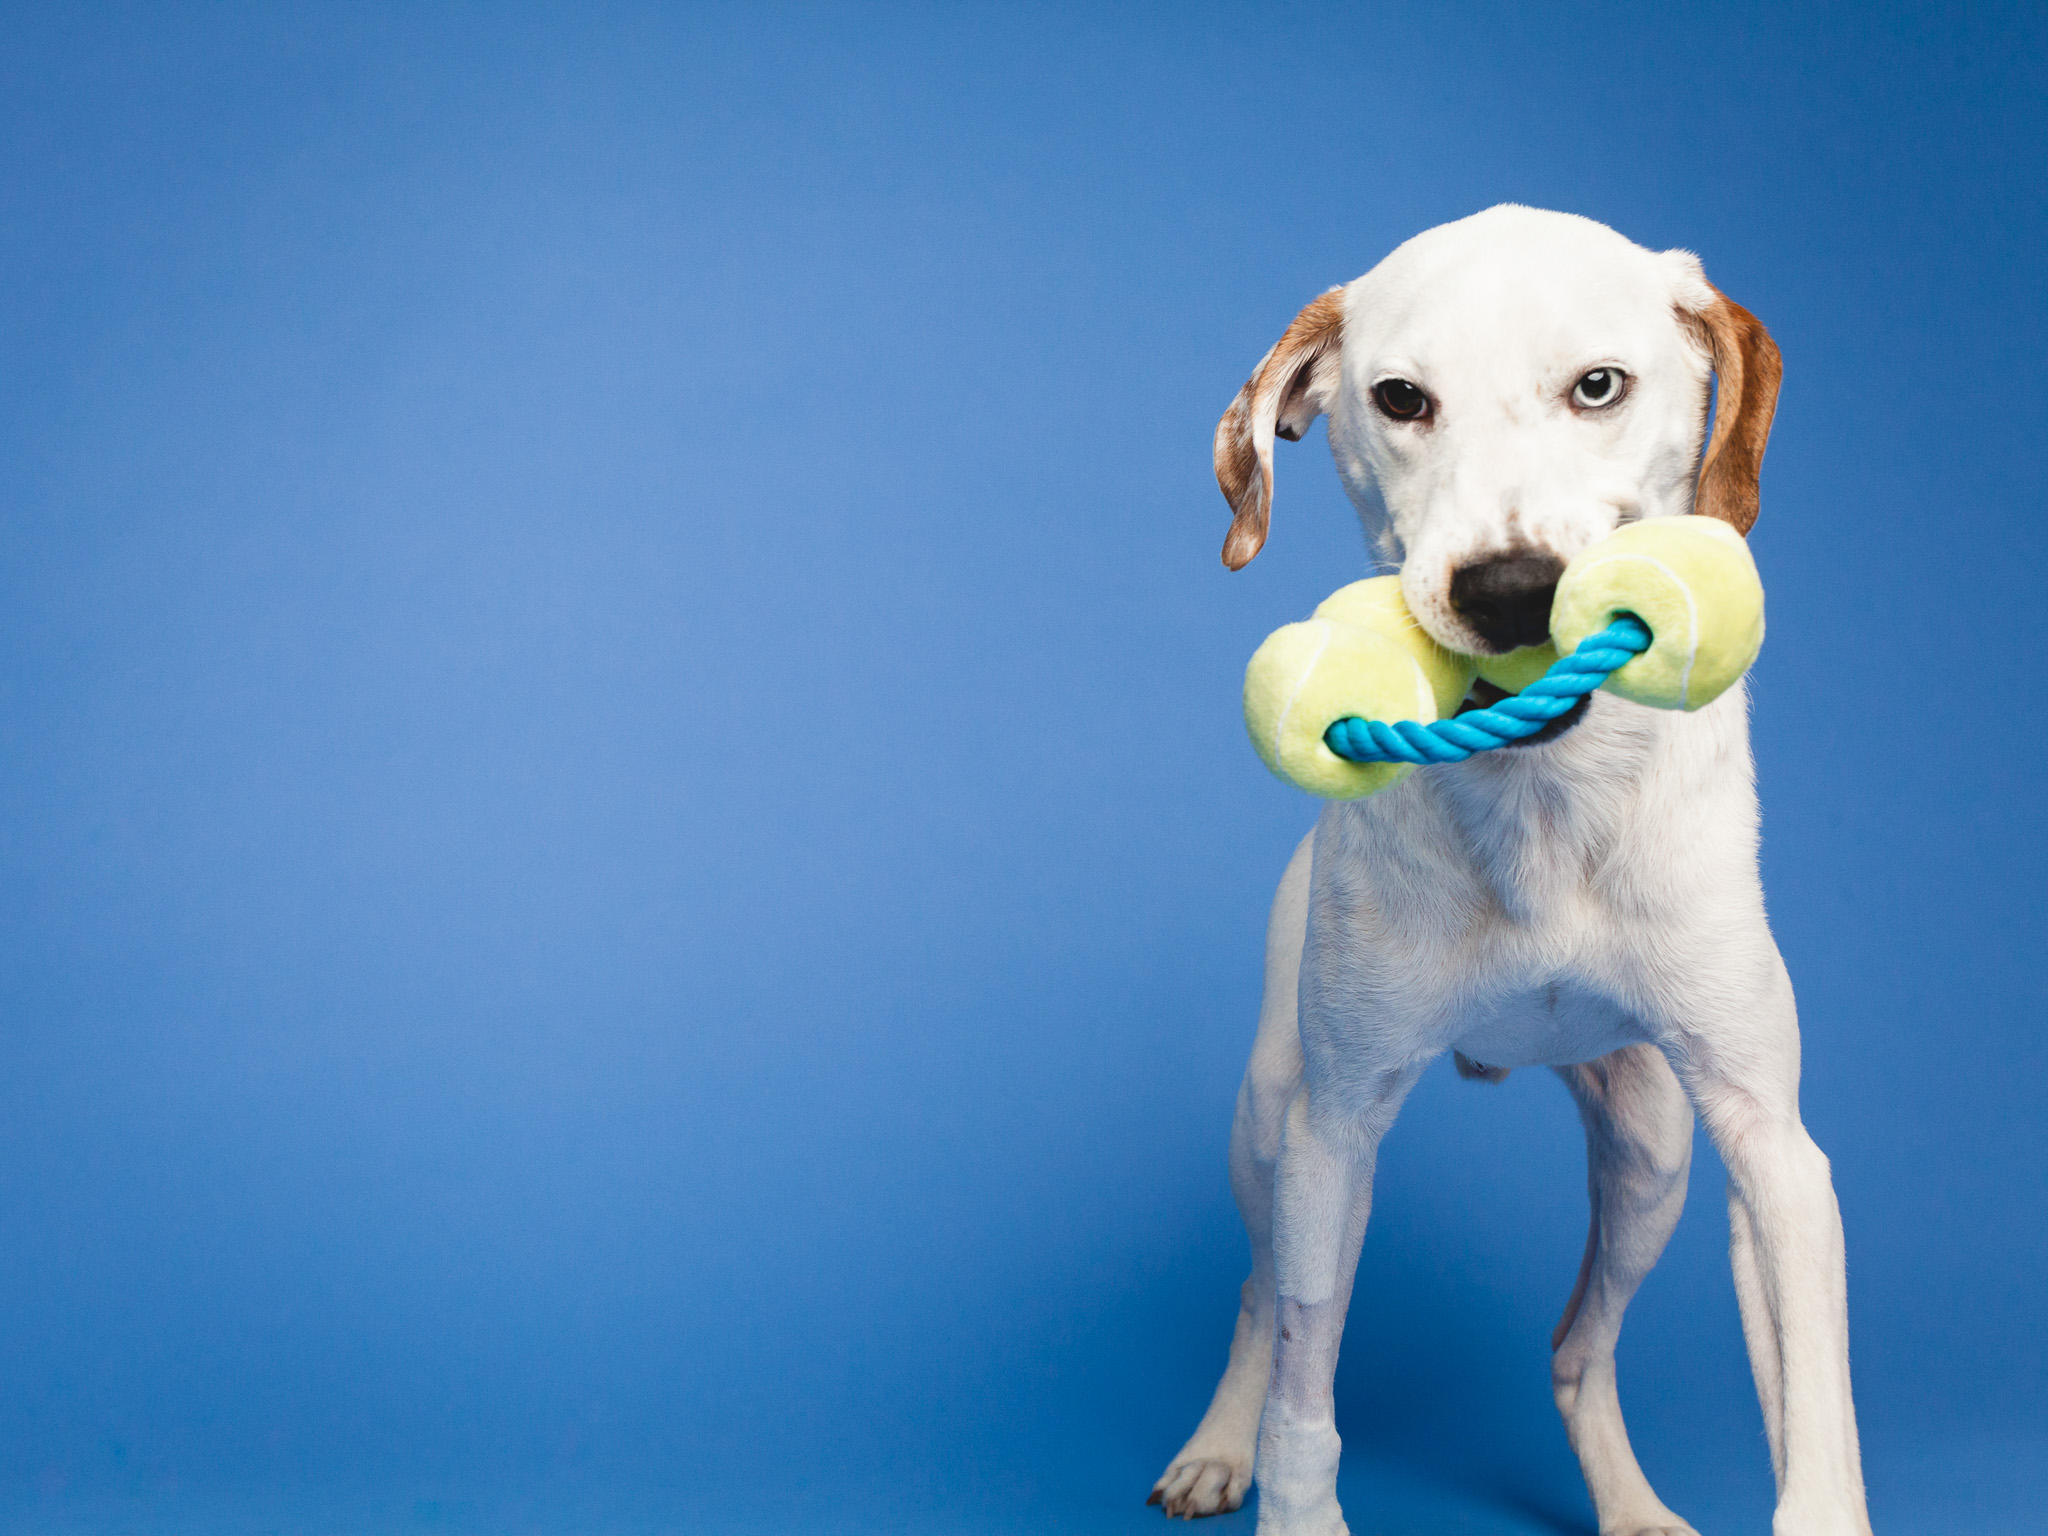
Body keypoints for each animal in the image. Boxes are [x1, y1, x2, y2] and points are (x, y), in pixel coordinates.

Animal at [1155, 207, 1875, 1536]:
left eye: (1597, 385)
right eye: (1399, 398)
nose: (1507, 590)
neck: (1543, 802)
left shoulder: (1772, 1150)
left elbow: (1813, 1417)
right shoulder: (1335, 1128)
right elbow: (1302, 1391)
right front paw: (1281, 1489)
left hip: (1651, 1155)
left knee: (1574, 1345)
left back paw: (1631, 1508)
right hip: (1267, 1120)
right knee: (1258, 1300)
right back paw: (1215, 1446)